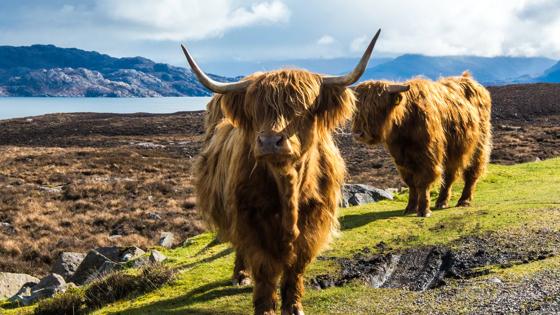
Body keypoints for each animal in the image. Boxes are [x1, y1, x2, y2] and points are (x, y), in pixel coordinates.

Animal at [184, 30, 380, 315]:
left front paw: (293, 305)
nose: (269, 141)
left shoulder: (315, 220)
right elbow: (264, 269)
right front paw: (265, 307)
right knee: (240, 248)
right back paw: (240, 275)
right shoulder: (250, 219)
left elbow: (296, 266)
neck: (288, 185)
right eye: (255, 110)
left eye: (302, 109)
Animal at [354, 73, 490, 218]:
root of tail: (468, 79)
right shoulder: (401, 159)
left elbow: (422, 182)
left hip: (479, 145)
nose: (358, 134)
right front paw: (410, 208)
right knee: (449, 175)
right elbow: (411, 183)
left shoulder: (428, 155)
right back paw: (441, 202)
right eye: (356, 108)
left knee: (472, 173)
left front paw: (424, 210)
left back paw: (464, 201)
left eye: (377, 106)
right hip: (451, 150)